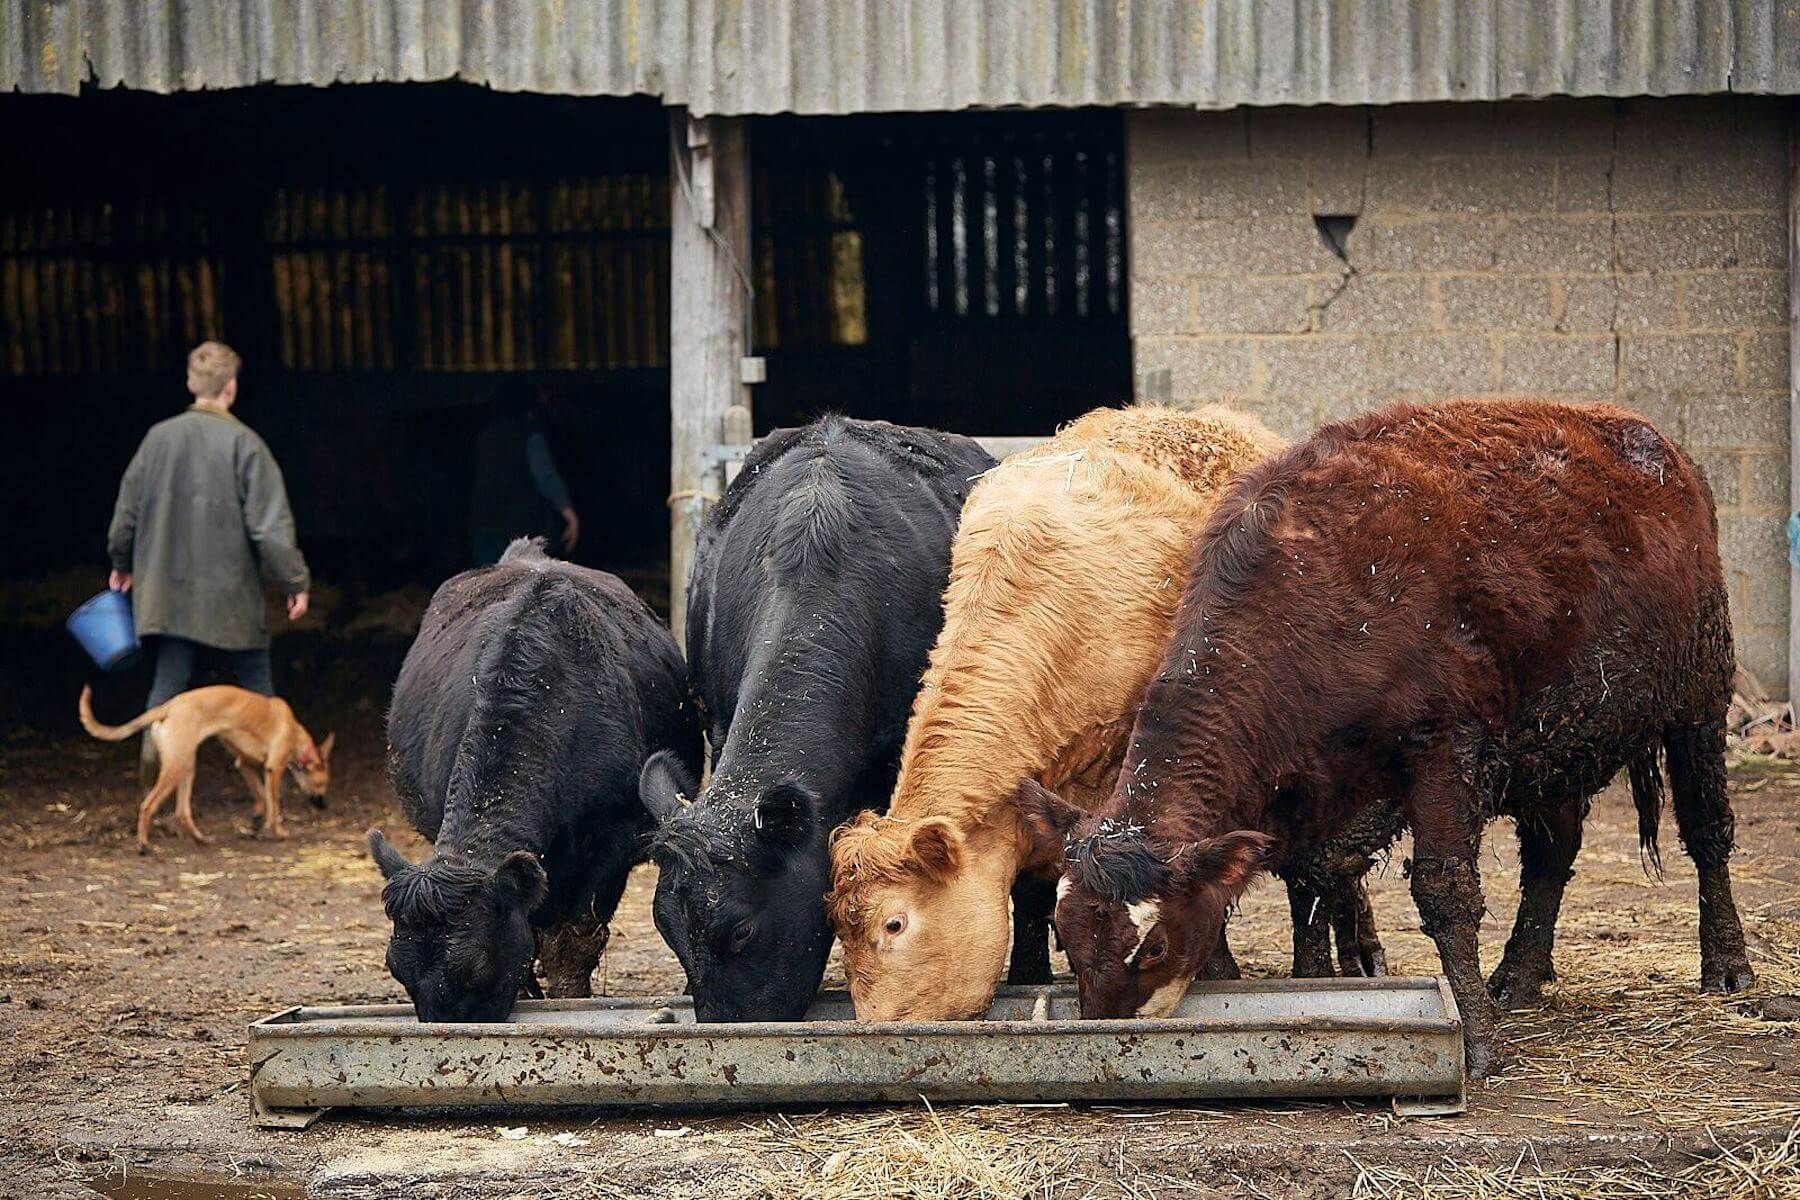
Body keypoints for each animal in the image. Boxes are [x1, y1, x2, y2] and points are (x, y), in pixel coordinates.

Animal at [78, 683, 338, 852]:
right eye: (322, 783)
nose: (324, 806)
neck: (295, 734)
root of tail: (168, 706)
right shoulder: (274, 769)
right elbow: (274, 803)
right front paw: (277, 831)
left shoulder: (244, 764)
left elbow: (263, 798)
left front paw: (257, 821)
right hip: (176, 767)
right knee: (147, 805)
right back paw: (143, 844)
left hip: (187, 766)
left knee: (182, 812)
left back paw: (201, 839)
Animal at [1029, 401, 1756, 1079]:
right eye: (1064, 936)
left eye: (1150, 947)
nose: (1100, 1032)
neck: (1325, 598)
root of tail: (1650, 440)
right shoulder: (1315, 796)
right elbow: (1314, 888)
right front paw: (1315, 989)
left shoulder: (1446, 750)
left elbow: (1444, 892)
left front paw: (1477, 1038)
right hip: (1553, 741)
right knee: (1552, 855)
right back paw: (1520, 973)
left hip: (1699, 693)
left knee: (1705, 828)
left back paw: (1726, 962)